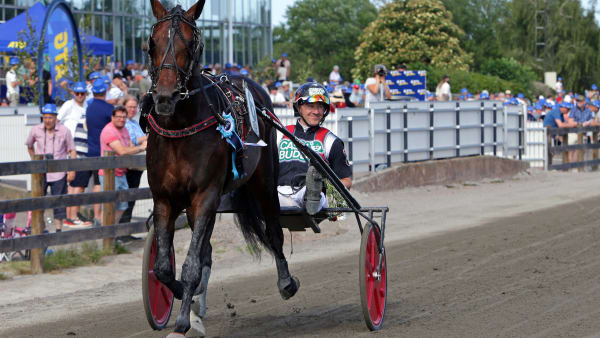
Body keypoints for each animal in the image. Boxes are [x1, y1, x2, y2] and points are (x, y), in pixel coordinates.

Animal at [143, 0, 298, 336]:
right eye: (151, 42)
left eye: (191, 43)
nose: (164, 97)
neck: (180, 128)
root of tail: (244, 80)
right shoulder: (164, 198)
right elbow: (162, 267)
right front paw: (180, 295)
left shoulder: (206, 195)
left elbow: (190, 264)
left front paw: (183, 320)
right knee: (207, 252)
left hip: (263, 180)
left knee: (273, 231)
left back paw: (286, 282)